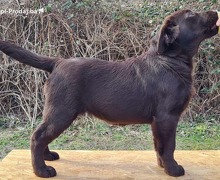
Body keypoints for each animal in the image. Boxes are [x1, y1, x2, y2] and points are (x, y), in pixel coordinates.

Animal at [0, 9, 218, 177]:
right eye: (192, 15)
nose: (215, 11)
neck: (170, 60)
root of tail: (58, 62)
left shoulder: (158, 120)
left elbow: (159, 145)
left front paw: (163, 166)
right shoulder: (168, 116)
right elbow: (170, 145)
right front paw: (173, 170)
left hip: (55, 111)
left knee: (42, 133)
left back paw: (47, 157)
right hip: (62, 111)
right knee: (38, 136)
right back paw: (42, 170)